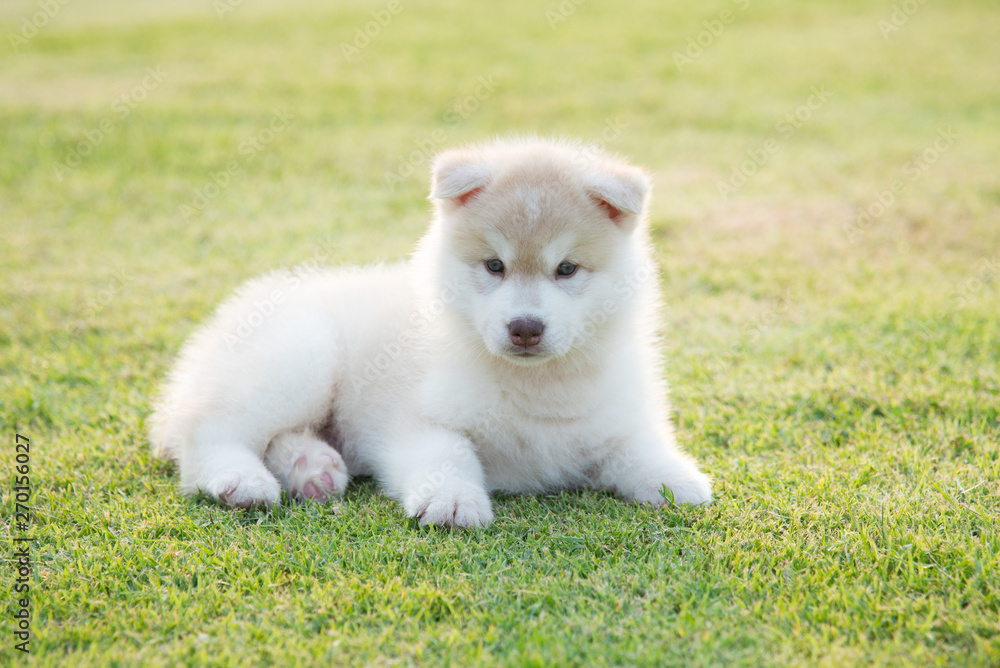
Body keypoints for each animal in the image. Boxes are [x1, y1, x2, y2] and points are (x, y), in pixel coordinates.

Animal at [150, 140, 712, 528]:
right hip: (299, 359)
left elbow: (638, 448)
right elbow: (447, 456)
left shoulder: (615, 419)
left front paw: (678, 480)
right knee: (209, 430)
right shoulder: (417, 421)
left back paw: (313, 468)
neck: (535, 389)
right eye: (494, 265)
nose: (525, 327)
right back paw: (242, 480)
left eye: (567, 269)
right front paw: (454, 501)